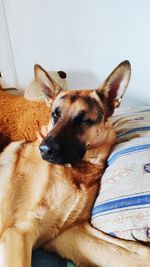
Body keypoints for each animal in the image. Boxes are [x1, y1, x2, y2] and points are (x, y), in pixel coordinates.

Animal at [0, 61, 150, 267]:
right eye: (55, 115)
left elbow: (137, 252)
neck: (77, 171)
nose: (44, 149)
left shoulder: (70, 233)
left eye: (83, 120)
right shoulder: (18, 234)